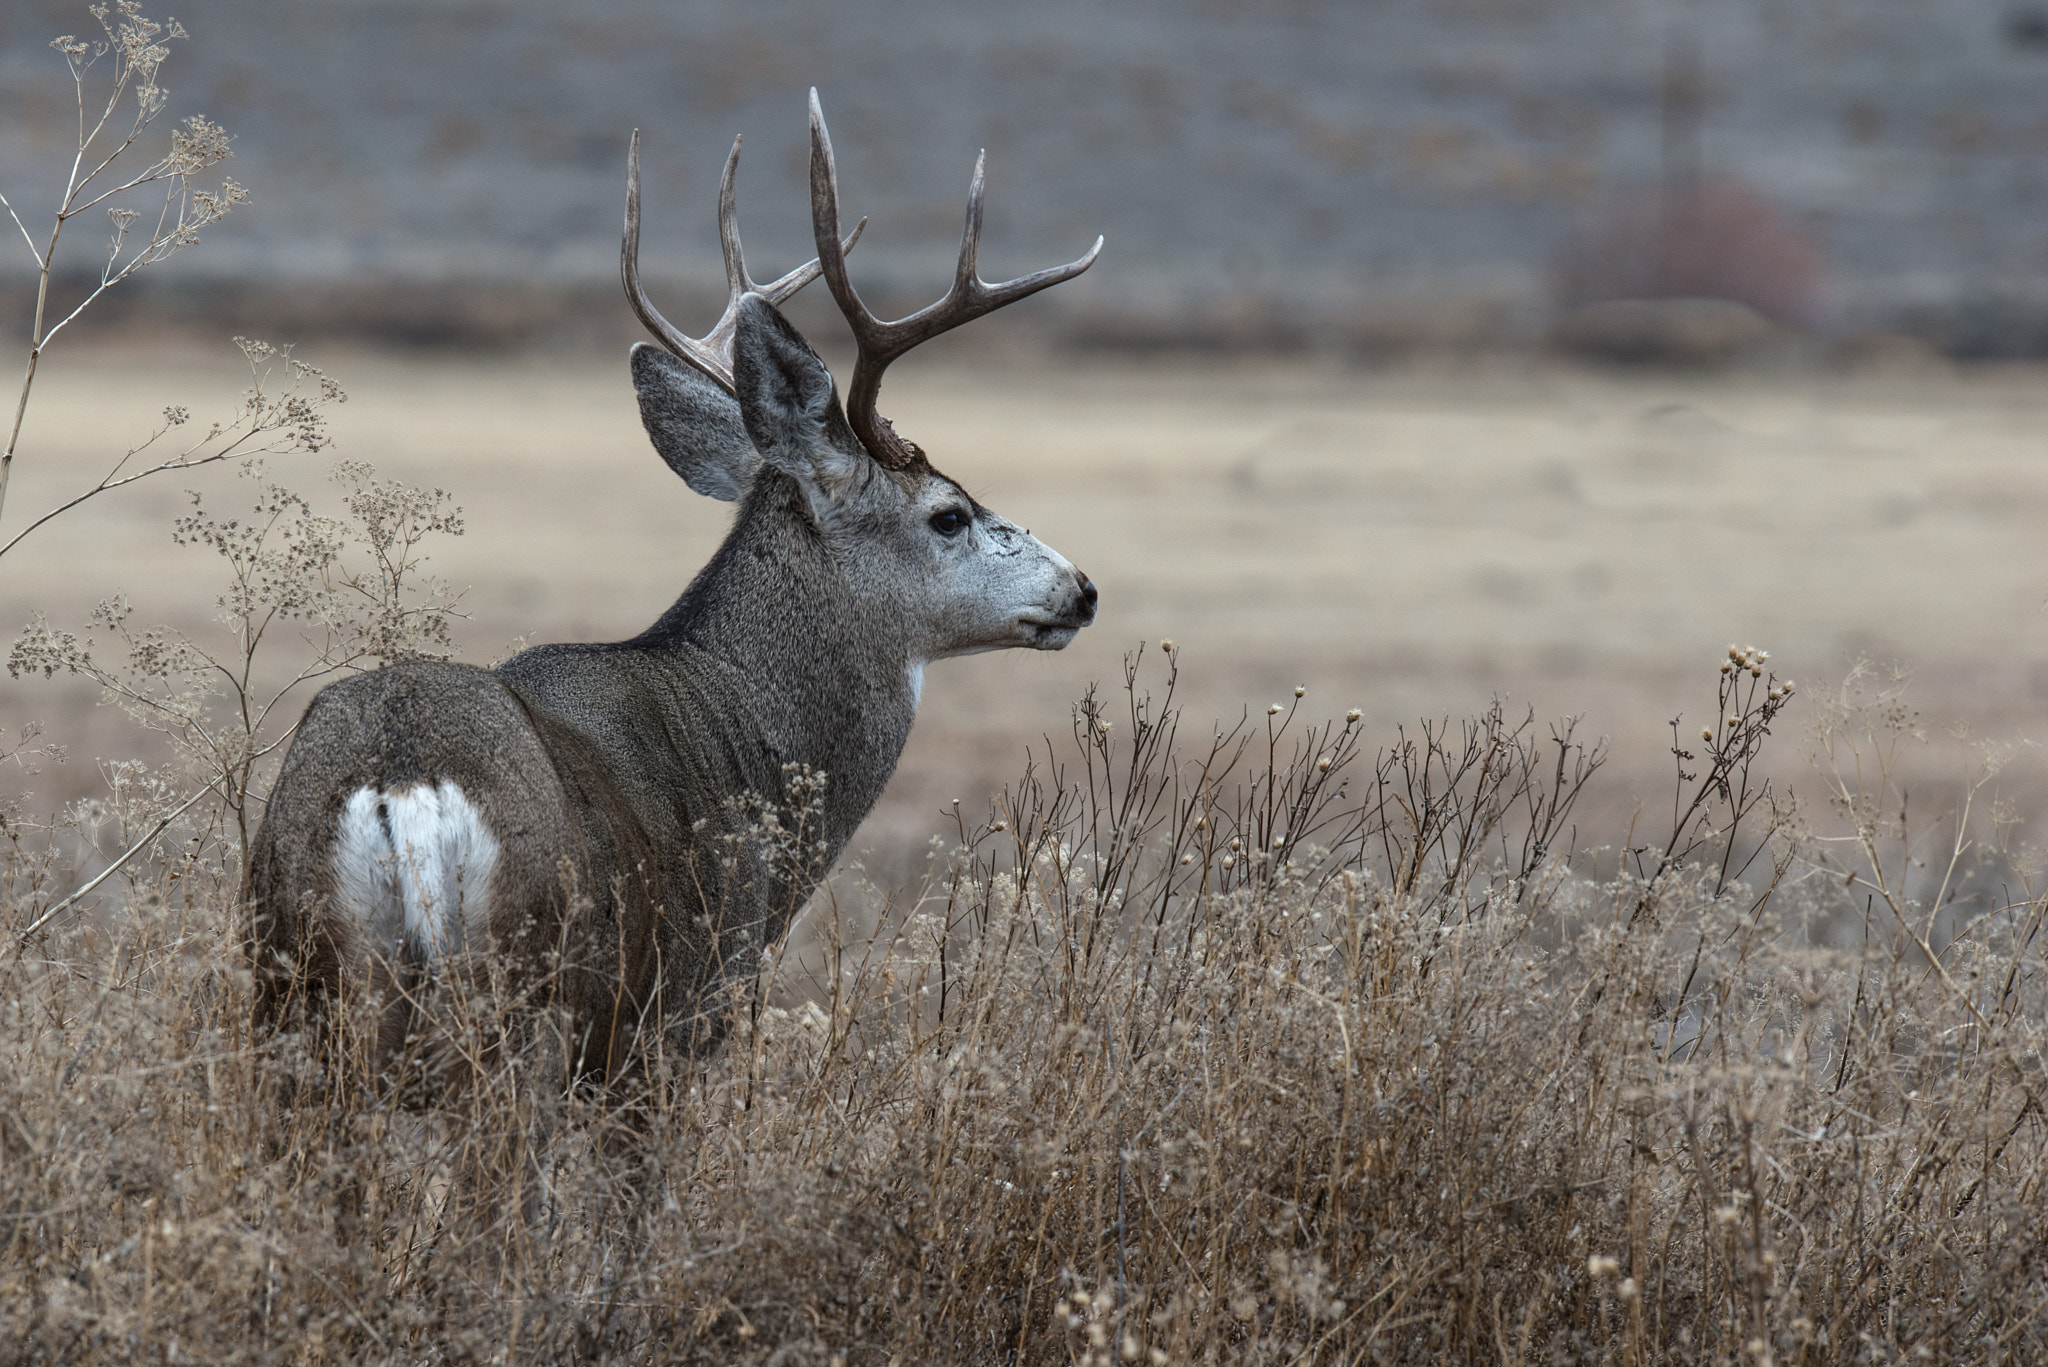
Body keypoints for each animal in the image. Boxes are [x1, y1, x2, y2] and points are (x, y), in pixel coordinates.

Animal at [245, 91, 1102, 1104]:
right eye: (949, 514)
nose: (1082, 588)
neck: (745, 736)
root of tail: (402, 780)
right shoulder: (680, 1015)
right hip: (526, 1002)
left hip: (288, 984)